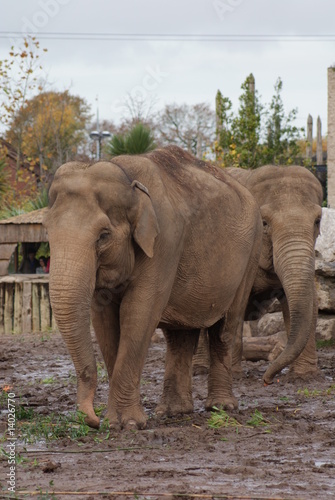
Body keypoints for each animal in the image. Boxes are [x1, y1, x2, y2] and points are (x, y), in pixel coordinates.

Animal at [43, 145, 262, 430]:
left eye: (103, 236)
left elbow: (138, 312)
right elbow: (104, 320)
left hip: (251, 254)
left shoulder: (165, 241)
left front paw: (125, 424)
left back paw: (221, 408)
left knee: (225, 328)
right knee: (180, 336)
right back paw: (174, 412)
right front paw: (117, 422)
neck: (128, 178)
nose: (92, 418)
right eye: (47, 231)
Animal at [194, 164, 326, 382]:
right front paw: (235, 376)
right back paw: (200, 370)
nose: (267, 380)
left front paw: (304, 376)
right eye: (264, 223)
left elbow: (309, 302)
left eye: (317, 221)